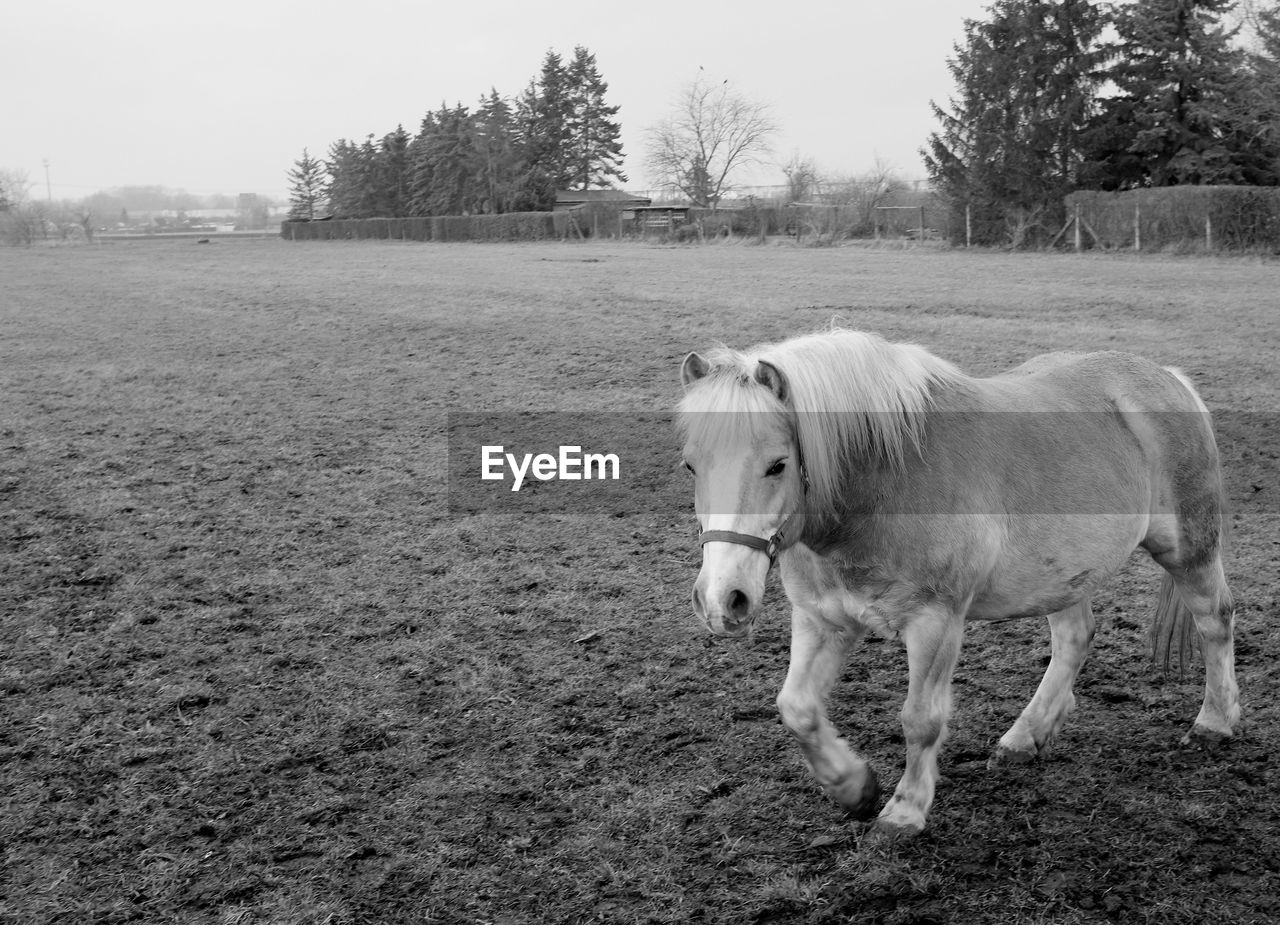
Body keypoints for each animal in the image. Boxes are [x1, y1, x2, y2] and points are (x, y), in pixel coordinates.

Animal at [680, 330, 1239, 839]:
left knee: (1215, 620)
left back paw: (1214, 724)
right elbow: (797, 709)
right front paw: (855, 788)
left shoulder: (936, 622)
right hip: (1063, 578)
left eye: (777, 464)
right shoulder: (822, 620)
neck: (884, 483)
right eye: (690, 465)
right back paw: (1025, 737)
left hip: (1187, 550)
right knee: (1074, 638)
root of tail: (1169, 378)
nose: (723, 600)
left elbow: (920, 719)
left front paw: (904, 811)